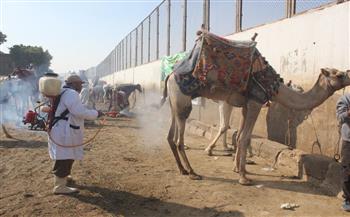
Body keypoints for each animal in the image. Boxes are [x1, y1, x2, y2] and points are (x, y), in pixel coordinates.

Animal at [161, 30, 350, 184]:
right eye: (339, 75)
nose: (348, 74)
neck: (275, 87)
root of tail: (169, 76)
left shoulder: (246, 105)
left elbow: (240, 136)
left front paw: (239, 169)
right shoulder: (256, 102)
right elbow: (244, 138)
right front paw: (243, 177)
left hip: (174, 102)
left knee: (170, 137)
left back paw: (183, 170)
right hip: (183, 99)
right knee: (179, 139)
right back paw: (193, 172)